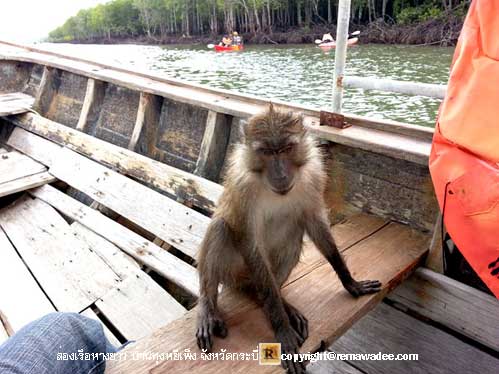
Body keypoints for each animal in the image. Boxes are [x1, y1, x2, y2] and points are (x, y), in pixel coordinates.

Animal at [196, 105, 382, 374]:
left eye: (285, 149)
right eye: (266, 152)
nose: (281, 174)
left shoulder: (313, 176)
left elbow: (315, 223)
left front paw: (350, 281)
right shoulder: (243, 187)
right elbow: (250, 243)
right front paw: (282, 327)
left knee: (293, 237)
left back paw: (275, 301)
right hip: (236, 274)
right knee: (221, 229)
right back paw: (210, 307)